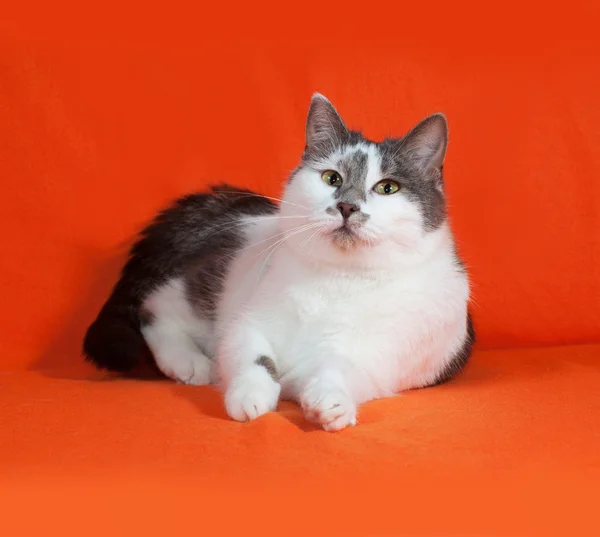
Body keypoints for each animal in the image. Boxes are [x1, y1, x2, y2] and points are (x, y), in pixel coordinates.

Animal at [83, 93, 474, 432]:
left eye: (388, 187)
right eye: (331, 178)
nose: (347, 206)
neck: (341, 278)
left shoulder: (385, 357)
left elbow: (343, 367)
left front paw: (331, 401)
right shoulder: (247, 321)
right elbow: (253, 354)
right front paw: (249, 395)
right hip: (208, 283)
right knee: (153, 308)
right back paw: (189, 363)